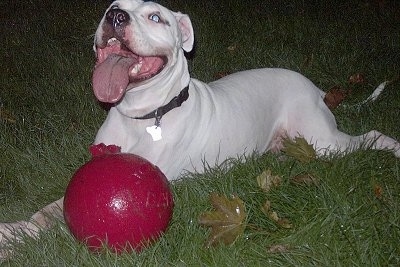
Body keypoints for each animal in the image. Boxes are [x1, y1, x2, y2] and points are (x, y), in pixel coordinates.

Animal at [0, 0, 400, 258]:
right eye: (111, 6)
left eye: (156, 17)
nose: (114, 16)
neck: (141, 116)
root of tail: (315, 87)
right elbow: (49, 210)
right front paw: (15, 231)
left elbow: (63, 222)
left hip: (324, 141)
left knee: (371, 137)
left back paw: (393, 148)